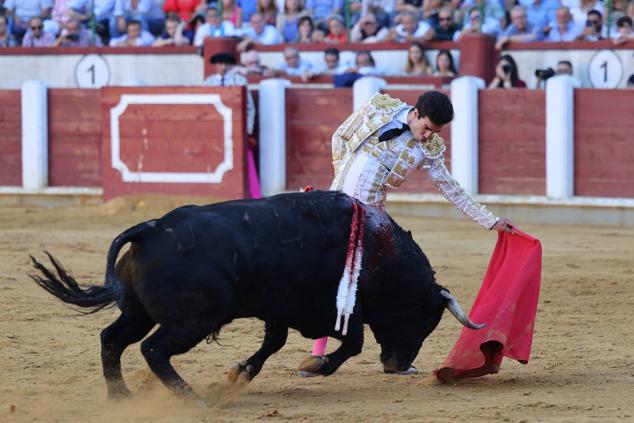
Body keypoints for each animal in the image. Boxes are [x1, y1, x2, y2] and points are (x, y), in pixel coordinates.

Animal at [29, 191, 482, 400]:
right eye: (422, 320)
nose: (397, 365)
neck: (378, 250)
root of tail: (151, 228)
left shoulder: (279, 310)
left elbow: (273, 343)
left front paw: (240, 372)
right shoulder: (327, 311)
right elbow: (352, 341)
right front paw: (319, 367)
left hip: (139, 312)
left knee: (112, 339)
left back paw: (120, 396)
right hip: (194, 320)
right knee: (153, 350)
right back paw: (192, 400)